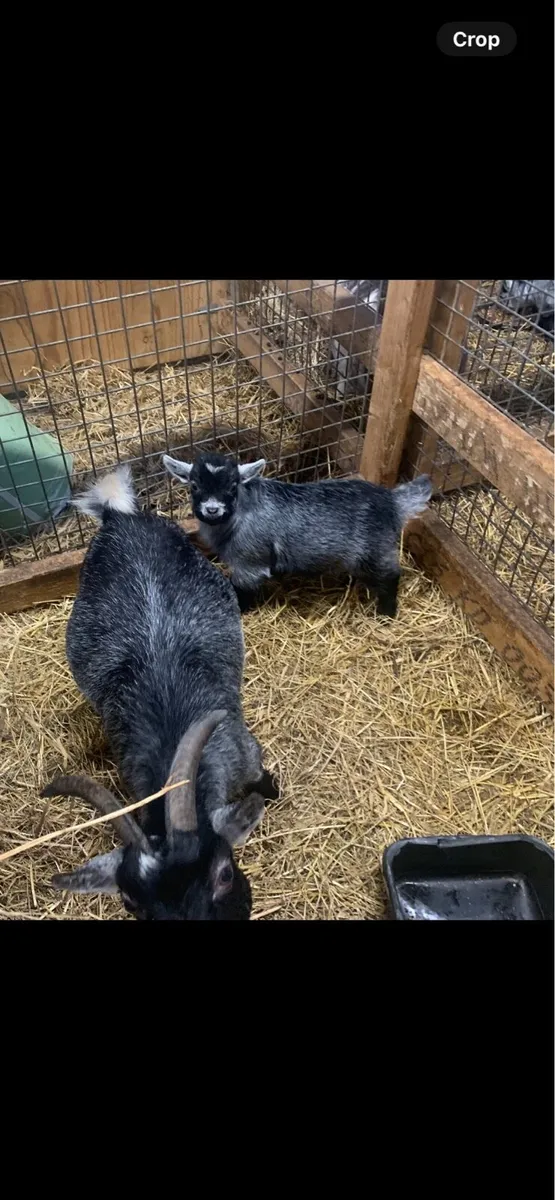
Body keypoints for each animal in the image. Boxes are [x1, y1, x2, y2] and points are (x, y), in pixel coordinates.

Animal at [163, 452, 432, 618]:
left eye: (232, 487)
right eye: (194, 486)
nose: (212, 509)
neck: (238, 516)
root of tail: (392, 501)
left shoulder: (249, 563)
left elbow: (242, 591)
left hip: (376, 550)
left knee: (390, 576)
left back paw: (386, 614)